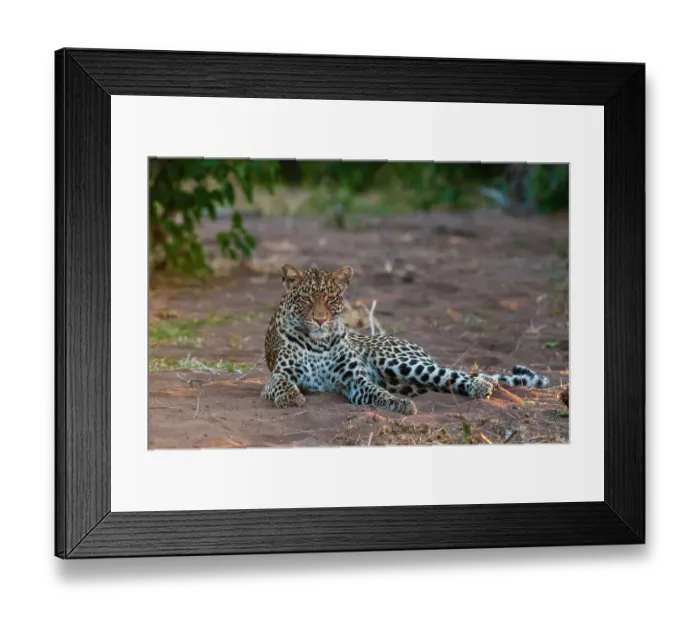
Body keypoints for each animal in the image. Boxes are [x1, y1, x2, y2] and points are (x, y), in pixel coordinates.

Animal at [262, 263, 550, 416]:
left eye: (331, 298)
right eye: (306, 298)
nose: (321, 320)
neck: (319, 344)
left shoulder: (354, 379)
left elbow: (376, 391)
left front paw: (399, 405)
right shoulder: (278, 377)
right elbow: (282, 384)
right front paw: (292, 398)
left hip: (401, 362)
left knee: (454, 374)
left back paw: (481, 385)